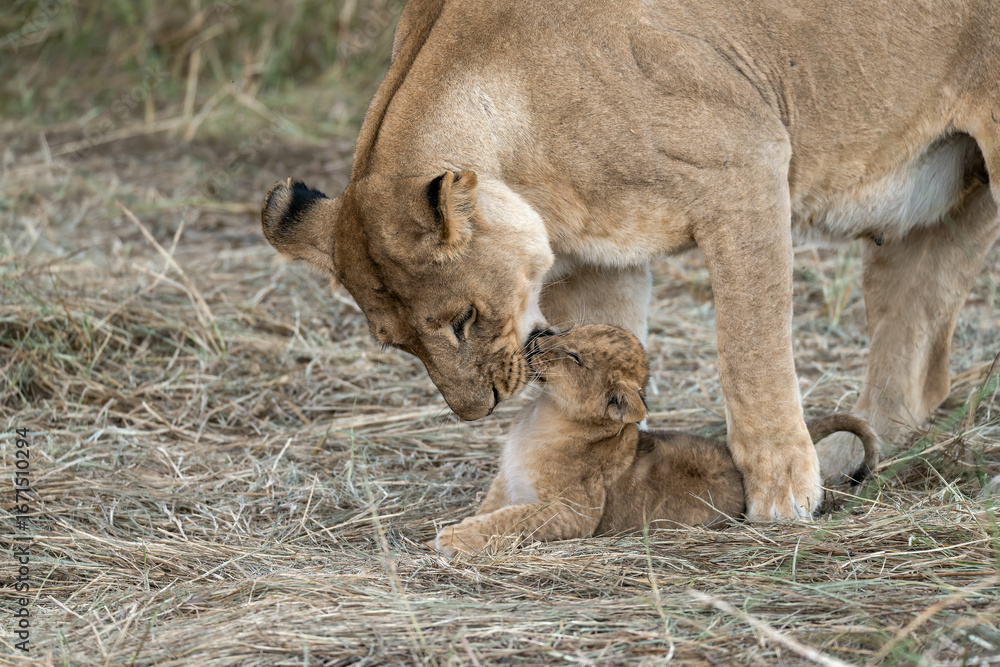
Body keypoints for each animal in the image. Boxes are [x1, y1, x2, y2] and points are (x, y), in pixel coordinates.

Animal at [261, 0, 999, 521]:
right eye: (397, 342)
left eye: (462, 318)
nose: (478, 409)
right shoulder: (596, 260)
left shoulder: (747, 167)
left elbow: (750, 351)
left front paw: (782, 496)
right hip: (949, 206)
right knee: (912, 380)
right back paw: (846, 460)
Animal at [432, 325, 880, 556]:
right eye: (571, 328)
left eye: (575, 357)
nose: (538, 333)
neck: (545, 415)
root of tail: (729, 454)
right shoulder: (506, 480)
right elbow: (492, 509)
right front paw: (458, 528)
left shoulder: (574, 512)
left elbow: (513, 519)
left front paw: (454, 538)